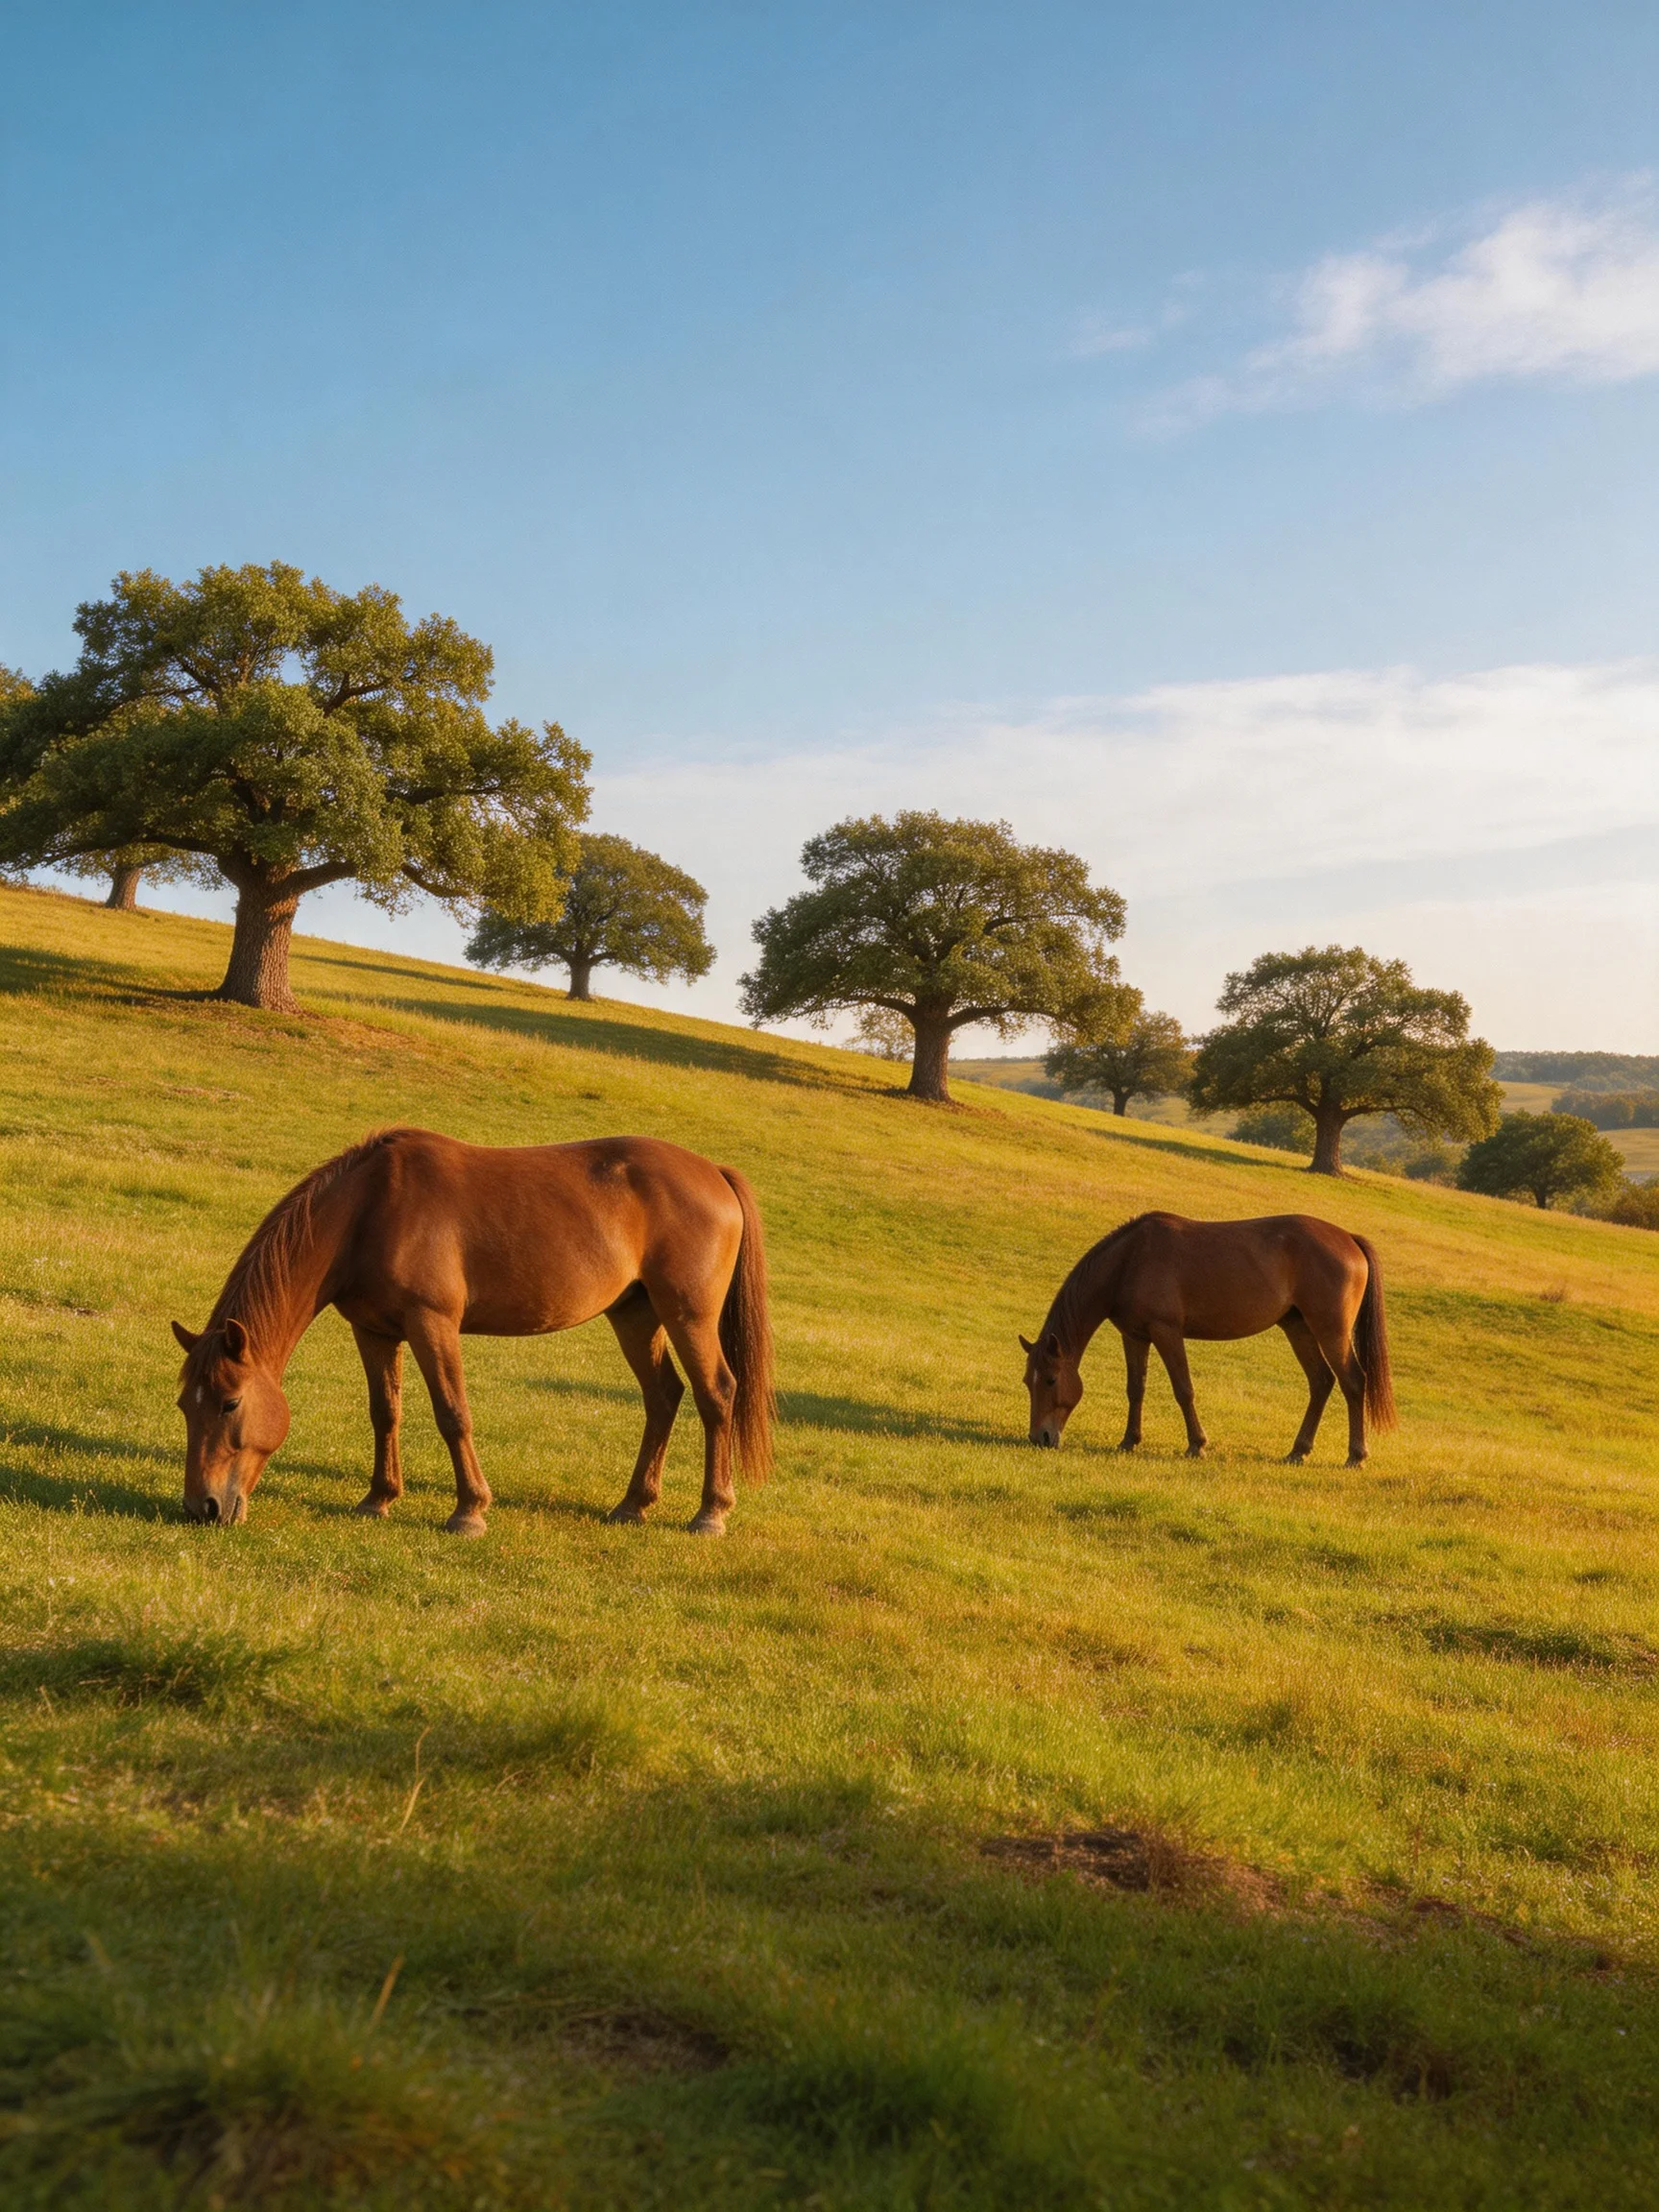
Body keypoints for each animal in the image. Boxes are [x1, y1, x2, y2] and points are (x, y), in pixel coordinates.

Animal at [171, 1127, 774, 1536]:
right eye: (183, 1405)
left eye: (229, 1403)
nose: (203, 1508)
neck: (372, 1208)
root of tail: (714, 1172)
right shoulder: (373, 1331)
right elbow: (384, 1413)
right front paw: (378, 1498)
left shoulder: (432, 1323)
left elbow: (452, 1413)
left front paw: (469, 1511)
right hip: (635, 1314)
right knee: (663, 1396)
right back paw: (633, 1505)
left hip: (688, 1316)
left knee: (716, 1394)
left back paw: (710, 1512)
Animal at [1019, 1212, 1394, 1465]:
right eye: (1027, 1381)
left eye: (1051, 1379)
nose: (1040, 1437)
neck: (1130, 1261)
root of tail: (1348, 1238)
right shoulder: (1135, 1336)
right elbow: (1135, 1389)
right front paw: (1129, 1440)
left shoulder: (1166, 1332)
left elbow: (1183, 1389)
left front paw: (1196, 1444)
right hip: (1298, 1328)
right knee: (1320, 1382)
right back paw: (1297, 1451)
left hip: (1331, 1330)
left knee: (1352, 1382)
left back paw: (1355, 1455)